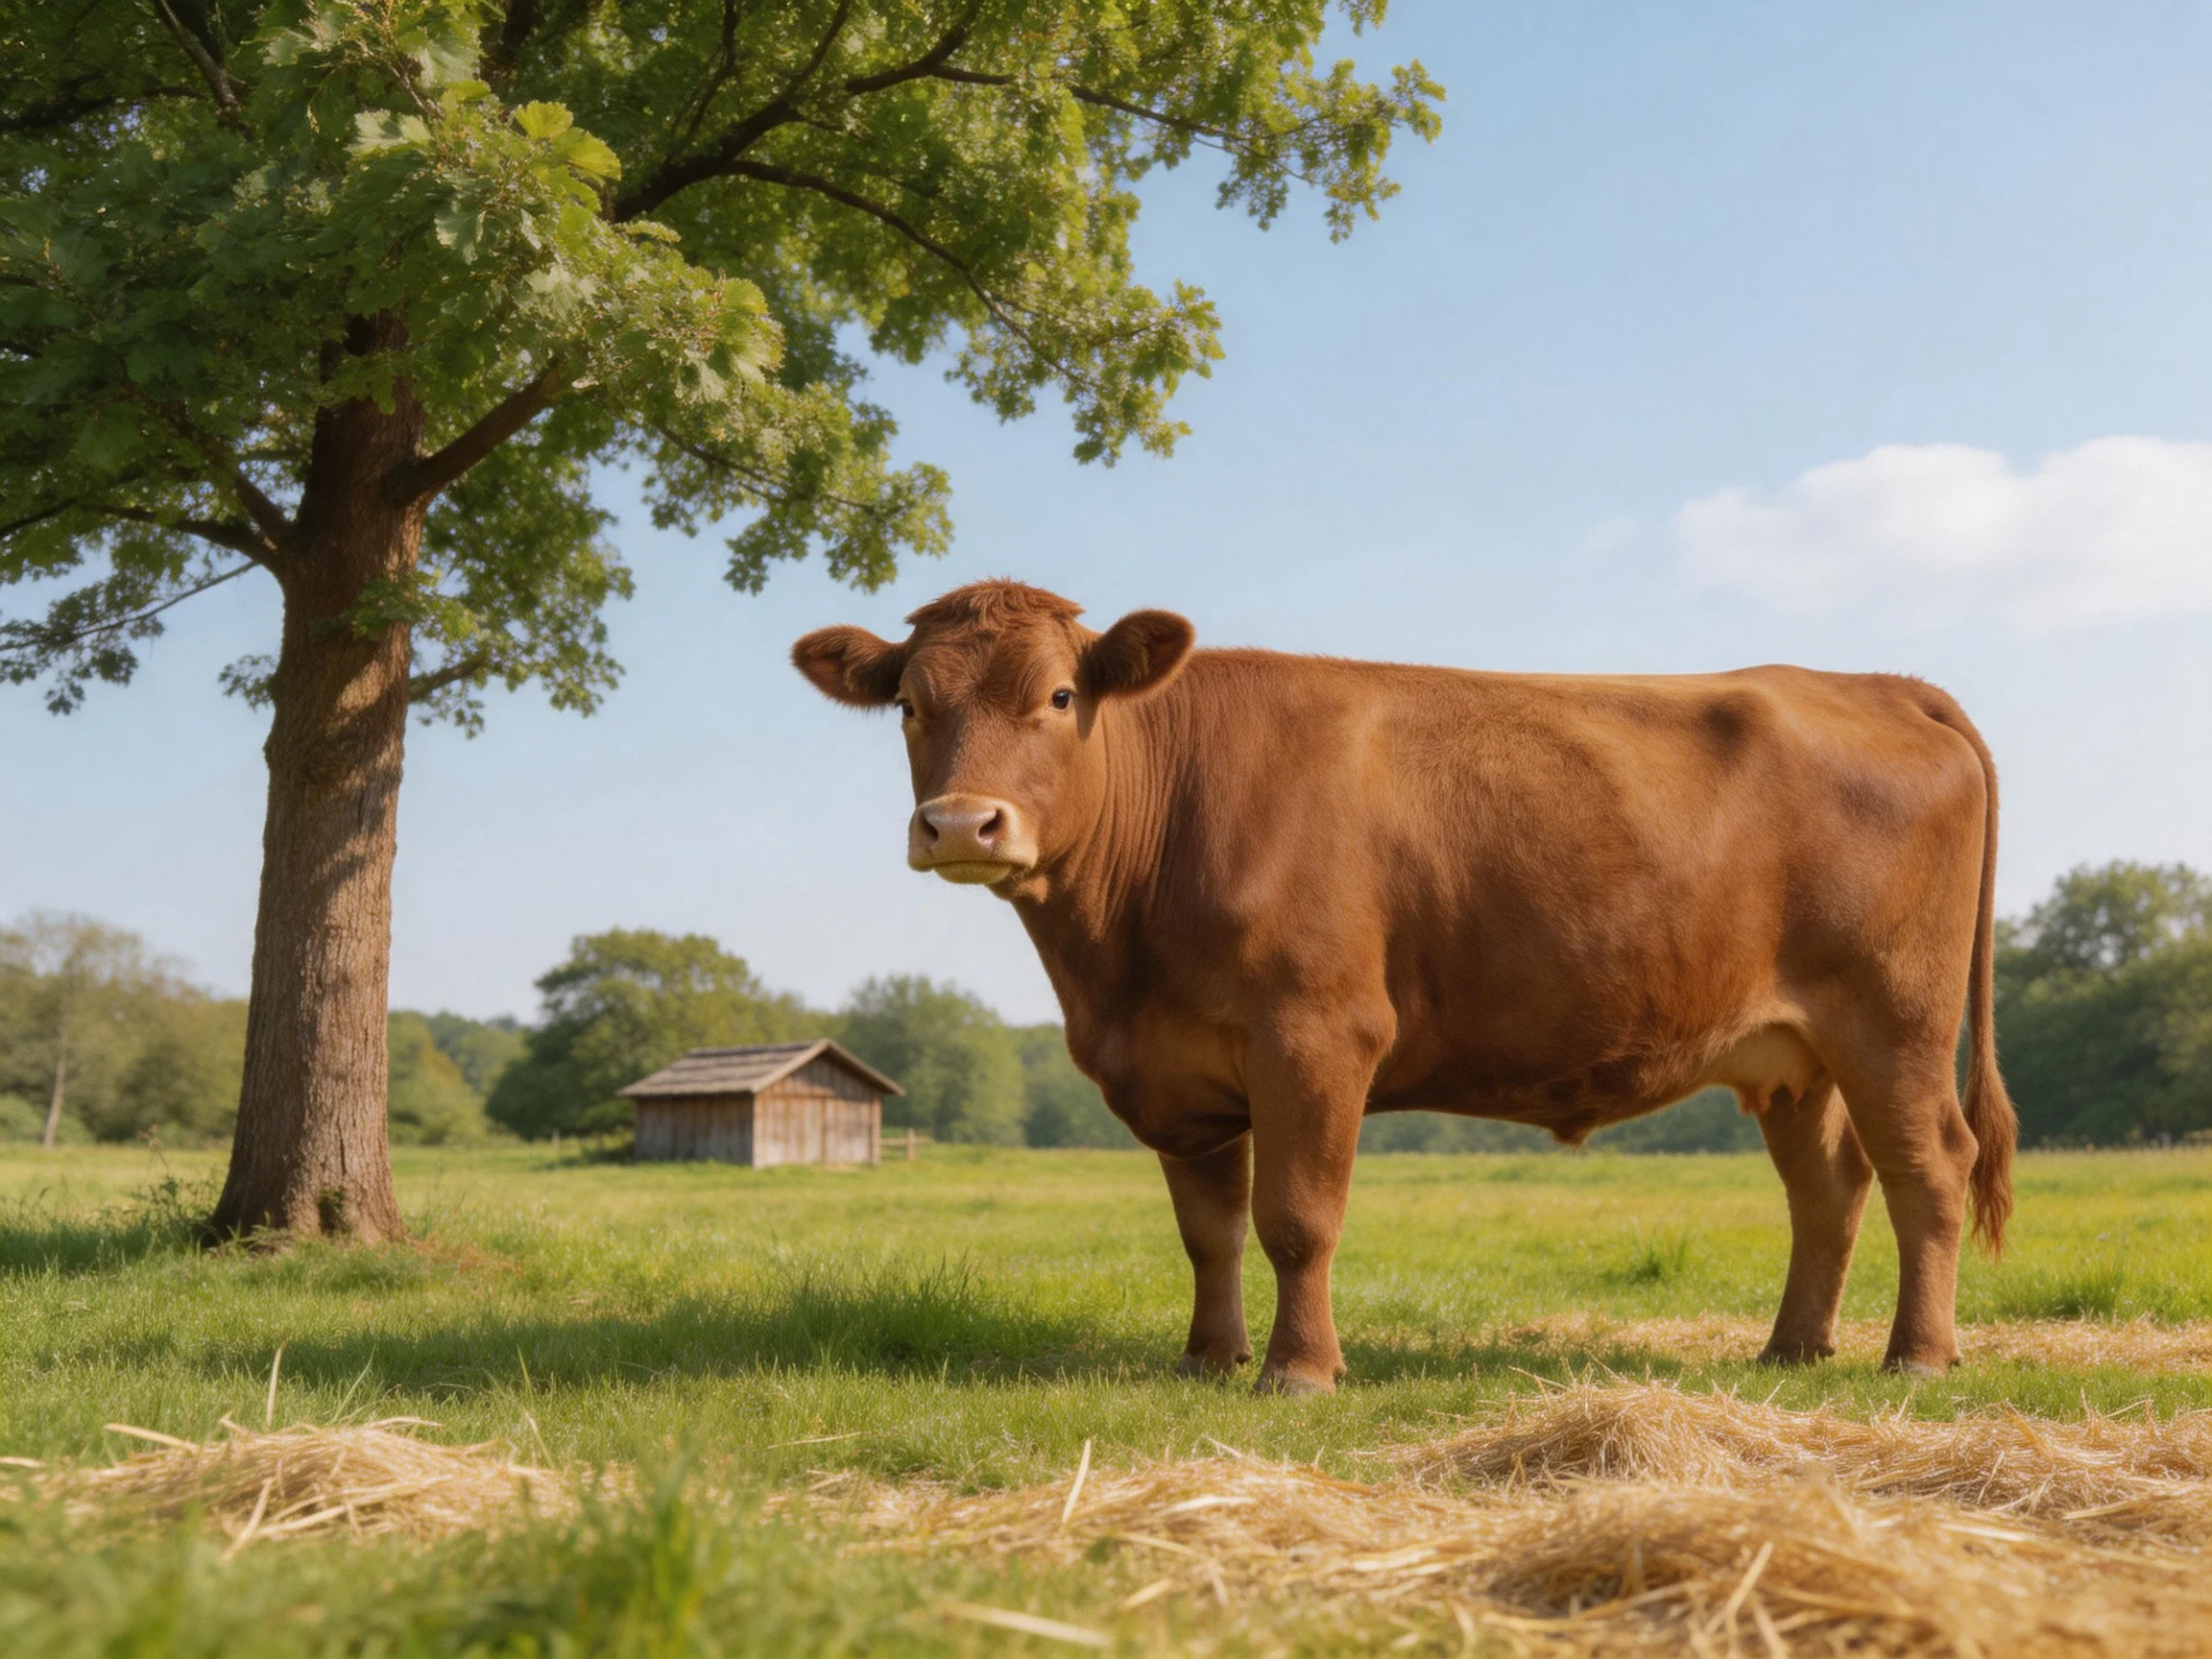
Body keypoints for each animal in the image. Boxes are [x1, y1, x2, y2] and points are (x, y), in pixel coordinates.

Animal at [793, 581, 2017, 1393]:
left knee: (1929, 1167)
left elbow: (1296, 1219)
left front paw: (1297, 1374)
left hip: (1894, 1020)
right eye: (910, 705)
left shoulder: (1316, 1033)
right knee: (1830, 1187)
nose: (962, 824)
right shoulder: (1181, 1071)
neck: (1115, 966)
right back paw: (1792, 1348)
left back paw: (1917, 1358)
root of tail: (1880, 686)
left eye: (1056, 695)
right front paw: (1207, 1361)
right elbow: (1210, 1230)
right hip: (1793, 1053)